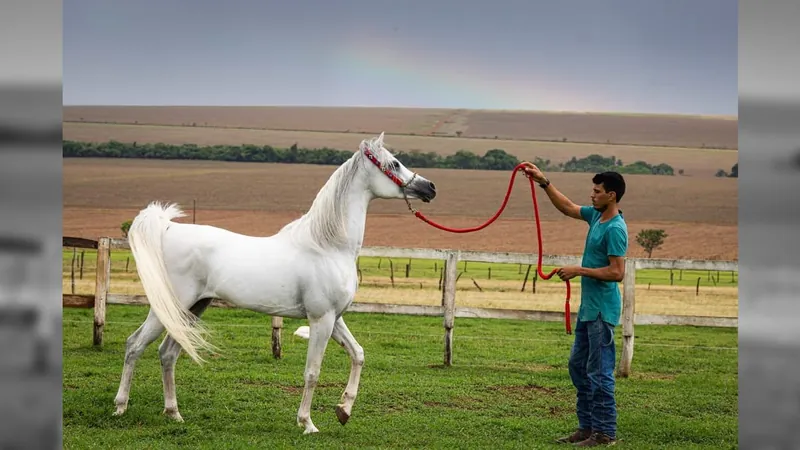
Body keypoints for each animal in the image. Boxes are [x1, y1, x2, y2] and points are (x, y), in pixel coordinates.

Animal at [111, 132, 438, 434]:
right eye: (394, 163)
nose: (430, 188)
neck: (327, 246)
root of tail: (167, 229)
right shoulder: (321, 319)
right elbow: (312, 372)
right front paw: (307, 423)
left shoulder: (335, 318)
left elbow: (357, 354)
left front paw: (343, 410)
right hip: (171, 307)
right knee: (134, 345)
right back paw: (120, 407)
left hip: (193, 309)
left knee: (167, 353)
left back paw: (173, 413)